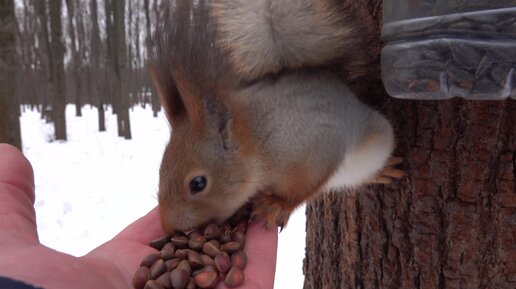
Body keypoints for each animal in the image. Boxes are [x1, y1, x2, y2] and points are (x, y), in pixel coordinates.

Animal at [151, 0, 406, 233]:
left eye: (198, 183)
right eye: (160, 170)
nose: (168, 228)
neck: (257, 142)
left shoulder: (318, 146)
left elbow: (306, 187)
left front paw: (277, 205)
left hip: (375, 142)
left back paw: (382, 170)